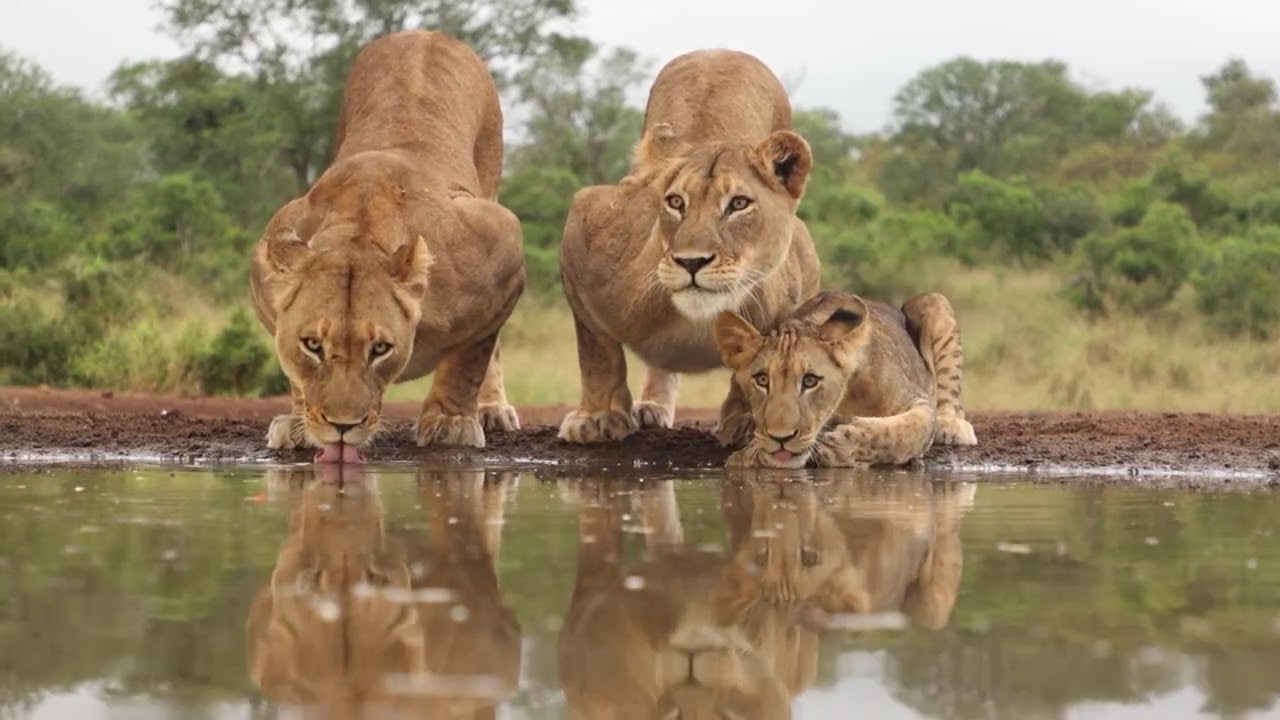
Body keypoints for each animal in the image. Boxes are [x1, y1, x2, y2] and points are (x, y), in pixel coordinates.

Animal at [248, 30, 526, 462]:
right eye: (313, 345)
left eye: (380, 348)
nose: (342, 427)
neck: (361, 232)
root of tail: (423, 32)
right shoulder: (267, 265)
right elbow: (293, 370)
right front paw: (296, 423)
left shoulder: (503, 245)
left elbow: (471, 355)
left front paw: (450, 423)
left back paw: (492, 409)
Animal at [556, 48, 821, 445]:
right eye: (675, 202)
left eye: (738, 204)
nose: (691, 262)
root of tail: (719, 49)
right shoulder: (583, 225)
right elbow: (598, 351)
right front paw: (597, 417)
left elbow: (761, 364)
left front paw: (746, 421)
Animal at [713, 289, 979, 469]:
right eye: (762, 380)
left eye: (810, 381)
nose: (781, 438)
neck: (842, 402)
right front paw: (748, 447)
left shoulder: (917, 400)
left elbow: (906, 432)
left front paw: (838, 446)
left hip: (935, 301)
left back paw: (951, 426)